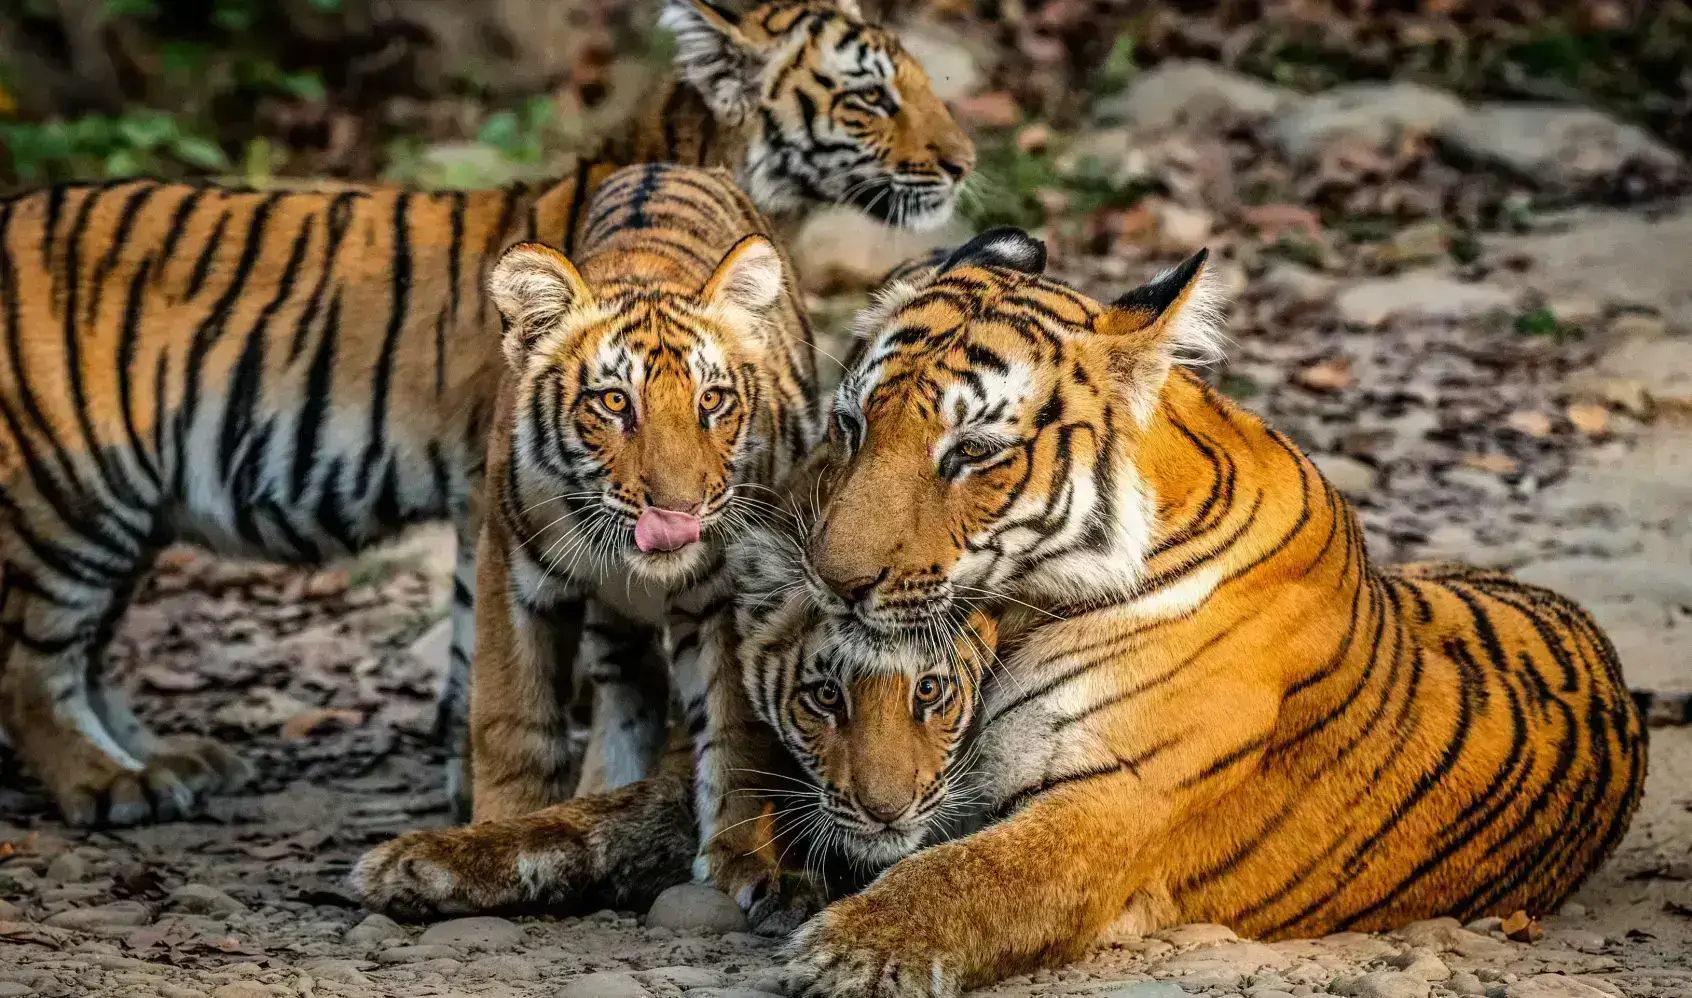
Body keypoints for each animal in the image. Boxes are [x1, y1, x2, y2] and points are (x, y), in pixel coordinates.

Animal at [0, 0, 973, 827]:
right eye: (868, 97)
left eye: (919, 79)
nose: (964, 162)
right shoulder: (492, 493)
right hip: (68, 493)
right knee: (34, 665)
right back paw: (114, 783)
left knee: (88, 651)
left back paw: (171, 760)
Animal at [353, 228, 1645, 998]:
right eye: (853, 422)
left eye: (972, 452)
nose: (830, 576)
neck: (1018, 614)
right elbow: (612, 811)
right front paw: (428, 856)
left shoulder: (1116, 801)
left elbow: (971, 877)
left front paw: (849, 944)